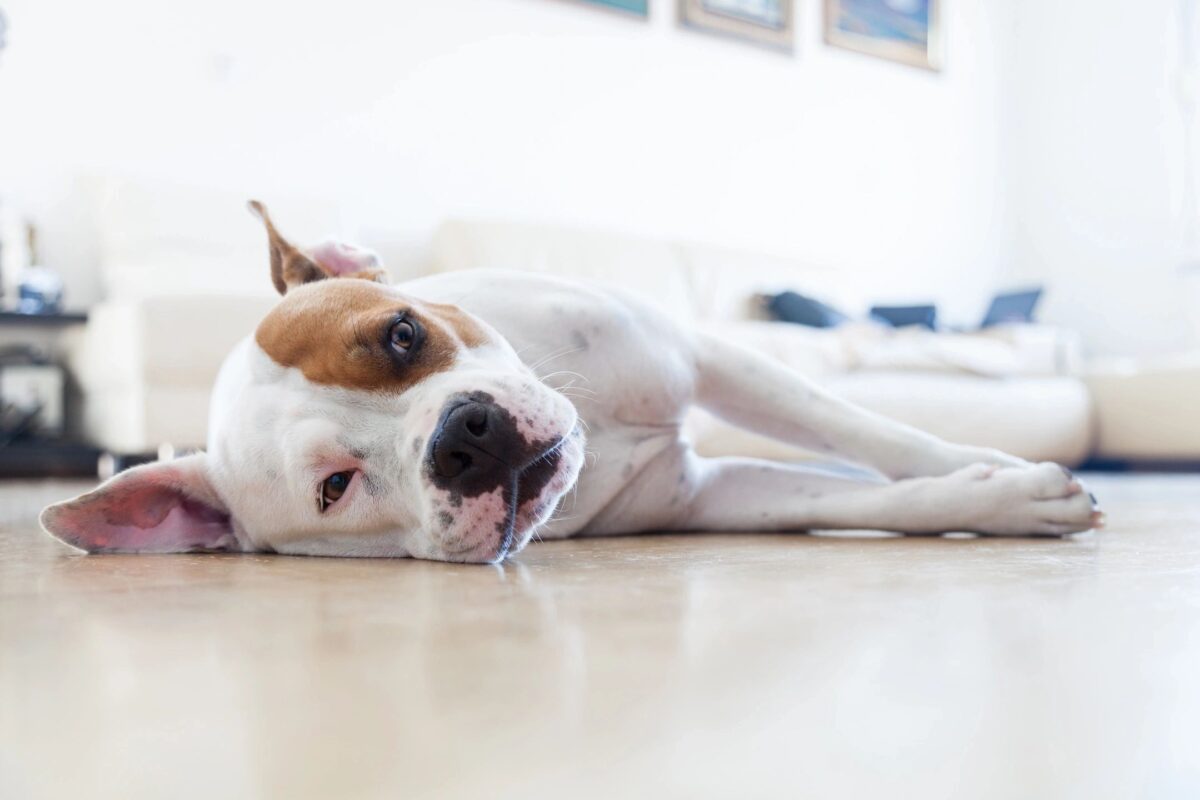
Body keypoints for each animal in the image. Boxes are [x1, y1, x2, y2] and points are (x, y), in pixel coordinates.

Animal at [37, 206, 1104, 563]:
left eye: (402, 334)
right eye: (335, 488)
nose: (463, 435)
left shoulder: (708, 356)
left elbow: (877, 438)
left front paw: (986, 467)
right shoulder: (713, 498)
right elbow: (872, 498)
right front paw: (1002, 498)